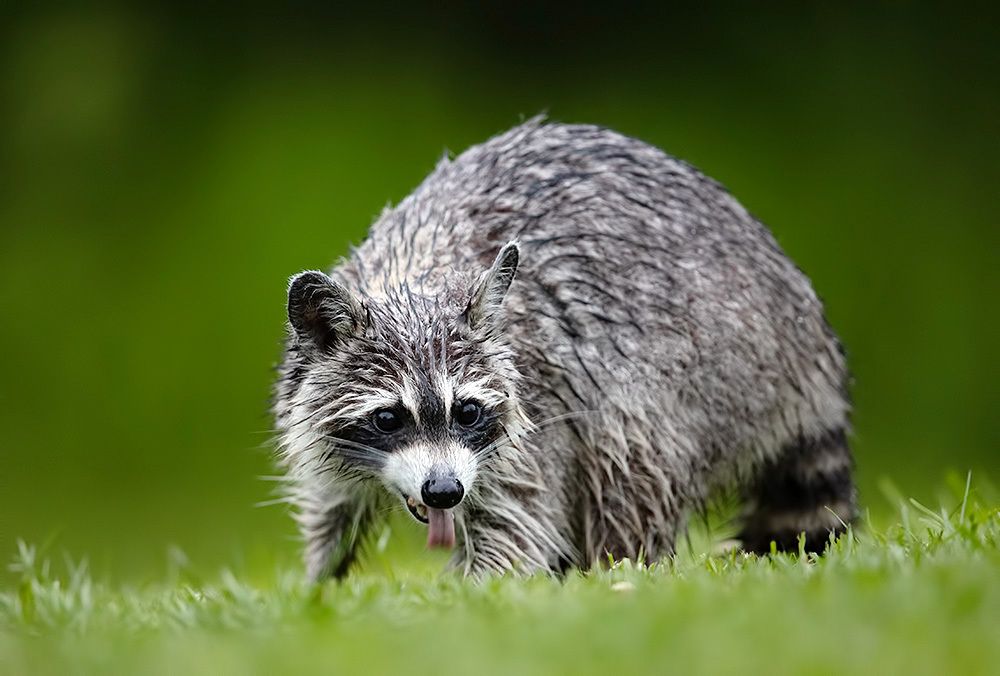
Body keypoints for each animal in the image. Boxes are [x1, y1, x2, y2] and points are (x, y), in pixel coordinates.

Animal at [273, 119, 857, 580]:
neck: (413, 278)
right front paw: (317, 583)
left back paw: (616, 569)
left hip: (708, 368)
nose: (443, 492)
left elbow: (520, 524)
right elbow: (331, 509)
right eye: (389, 418)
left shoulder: (538, 405)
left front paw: (475, 595)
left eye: (467, 412)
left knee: (629, 457)